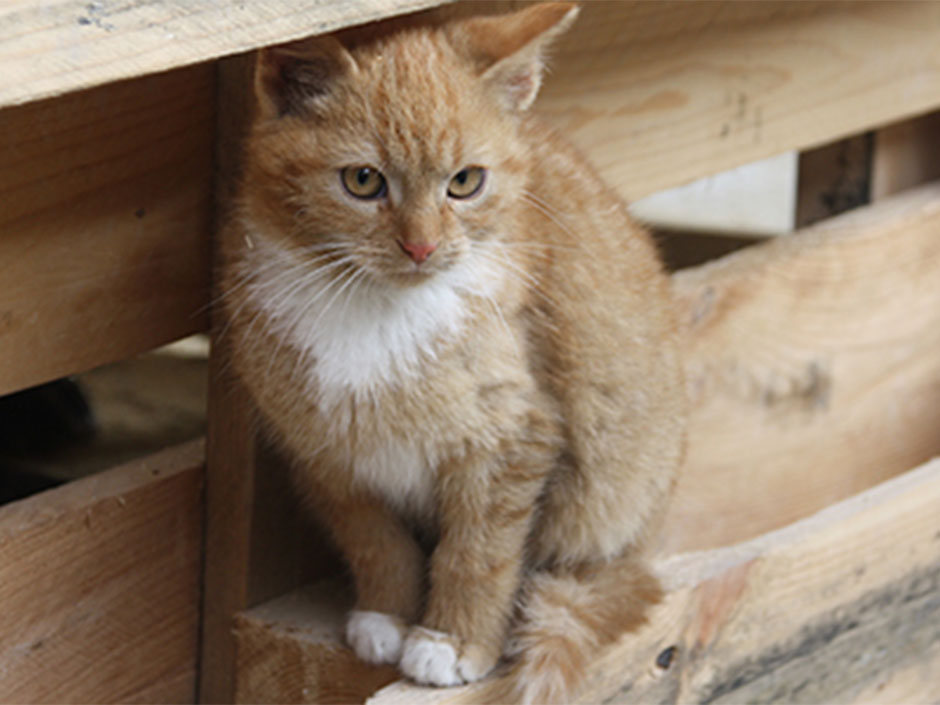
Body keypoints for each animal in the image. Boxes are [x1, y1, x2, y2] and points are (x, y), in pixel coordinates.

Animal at [218, 2, 688, 700]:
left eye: (465, 182)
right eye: (363, 180)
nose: (421, 246)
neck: (375, 310)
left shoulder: (514, 439)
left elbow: (477, 551)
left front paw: (452, 641)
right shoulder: (324, 452)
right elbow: (375, 540)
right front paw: (385, 614)